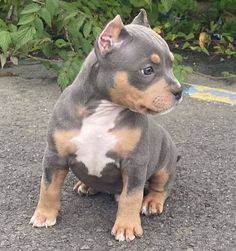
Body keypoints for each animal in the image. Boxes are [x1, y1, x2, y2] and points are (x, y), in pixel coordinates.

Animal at [30, 9, 183, 241]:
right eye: (147, 70)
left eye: (171, 66)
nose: (179, 91)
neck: (102, 110)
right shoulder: (54, 156)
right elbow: (48, 187)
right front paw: (44, 215)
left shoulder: (135, 163)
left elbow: (132, 196)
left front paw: (127, 227)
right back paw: (86, 185)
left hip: (165, 164)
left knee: (161, 187)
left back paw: (152, 202)